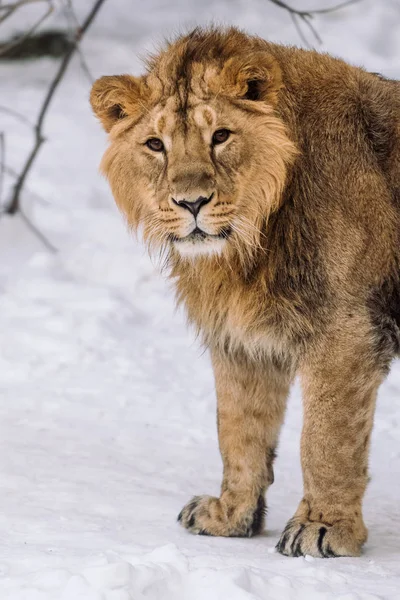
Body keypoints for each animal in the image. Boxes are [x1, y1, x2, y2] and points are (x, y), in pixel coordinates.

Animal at [90, 24, 400, 556]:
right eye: (155, 145)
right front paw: (230, 516)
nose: (191, 202)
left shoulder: (347, 331)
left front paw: (323, 528)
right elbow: (239, 430)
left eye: (220, 136)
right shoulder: (241, 338)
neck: (244, 249)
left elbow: (325, 440)